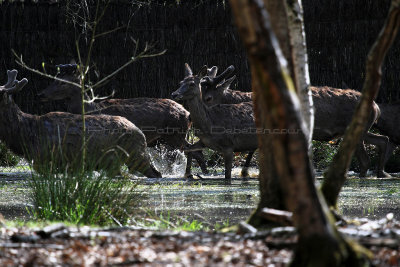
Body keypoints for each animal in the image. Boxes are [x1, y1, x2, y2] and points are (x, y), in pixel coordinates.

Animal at [37, 63, 208, 179]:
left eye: (62, 82)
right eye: (54, 78)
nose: (41, 94)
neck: (91, 107)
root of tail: (187, 113)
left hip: (174, 134)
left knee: (194, 151)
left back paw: (196, 174)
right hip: (167, 138)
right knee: (192, 151)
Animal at [202, 65, 390, 178]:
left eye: (209, 97)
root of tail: (376, 107)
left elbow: (252, 150)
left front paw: (245, 171)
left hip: (356, 129)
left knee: (365, 159)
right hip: (364, 129)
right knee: (383, 139)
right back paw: (382, 172)